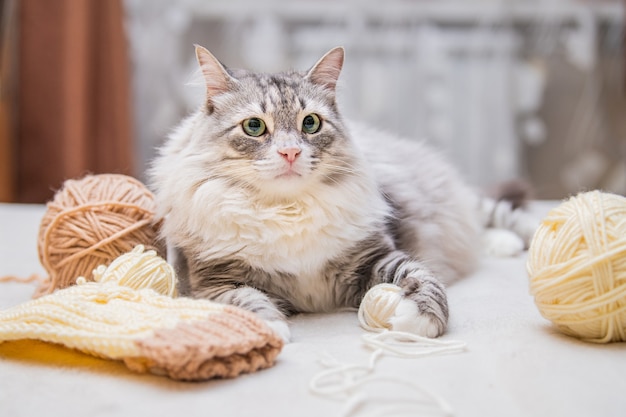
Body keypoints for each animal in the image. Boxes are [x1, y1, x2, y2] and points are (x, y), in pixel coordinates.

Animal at [149, 44, 532, 342]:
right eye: (254, 127)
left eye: (311, 123)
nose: (290, 152)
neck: (287, 211)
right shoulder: (213, 284)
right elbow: (247, 301)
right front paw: (271, 330)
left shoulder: (376, 257)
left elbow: (423, 278)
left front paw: (419, 321)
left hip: (465, 204)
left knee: (507, 217)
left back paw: (519, 242)